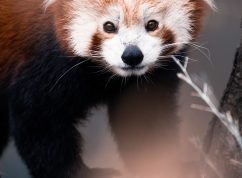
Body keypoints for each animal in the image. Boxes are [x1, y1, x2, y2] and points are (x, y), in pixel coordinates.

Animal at [0, 0, 215, 177]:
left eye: (152, 24)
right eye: (109, 26)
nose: (132, 56)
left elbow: (146, 120)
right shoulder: (44, 63)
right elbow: (40, 123)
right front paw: (81, 174)